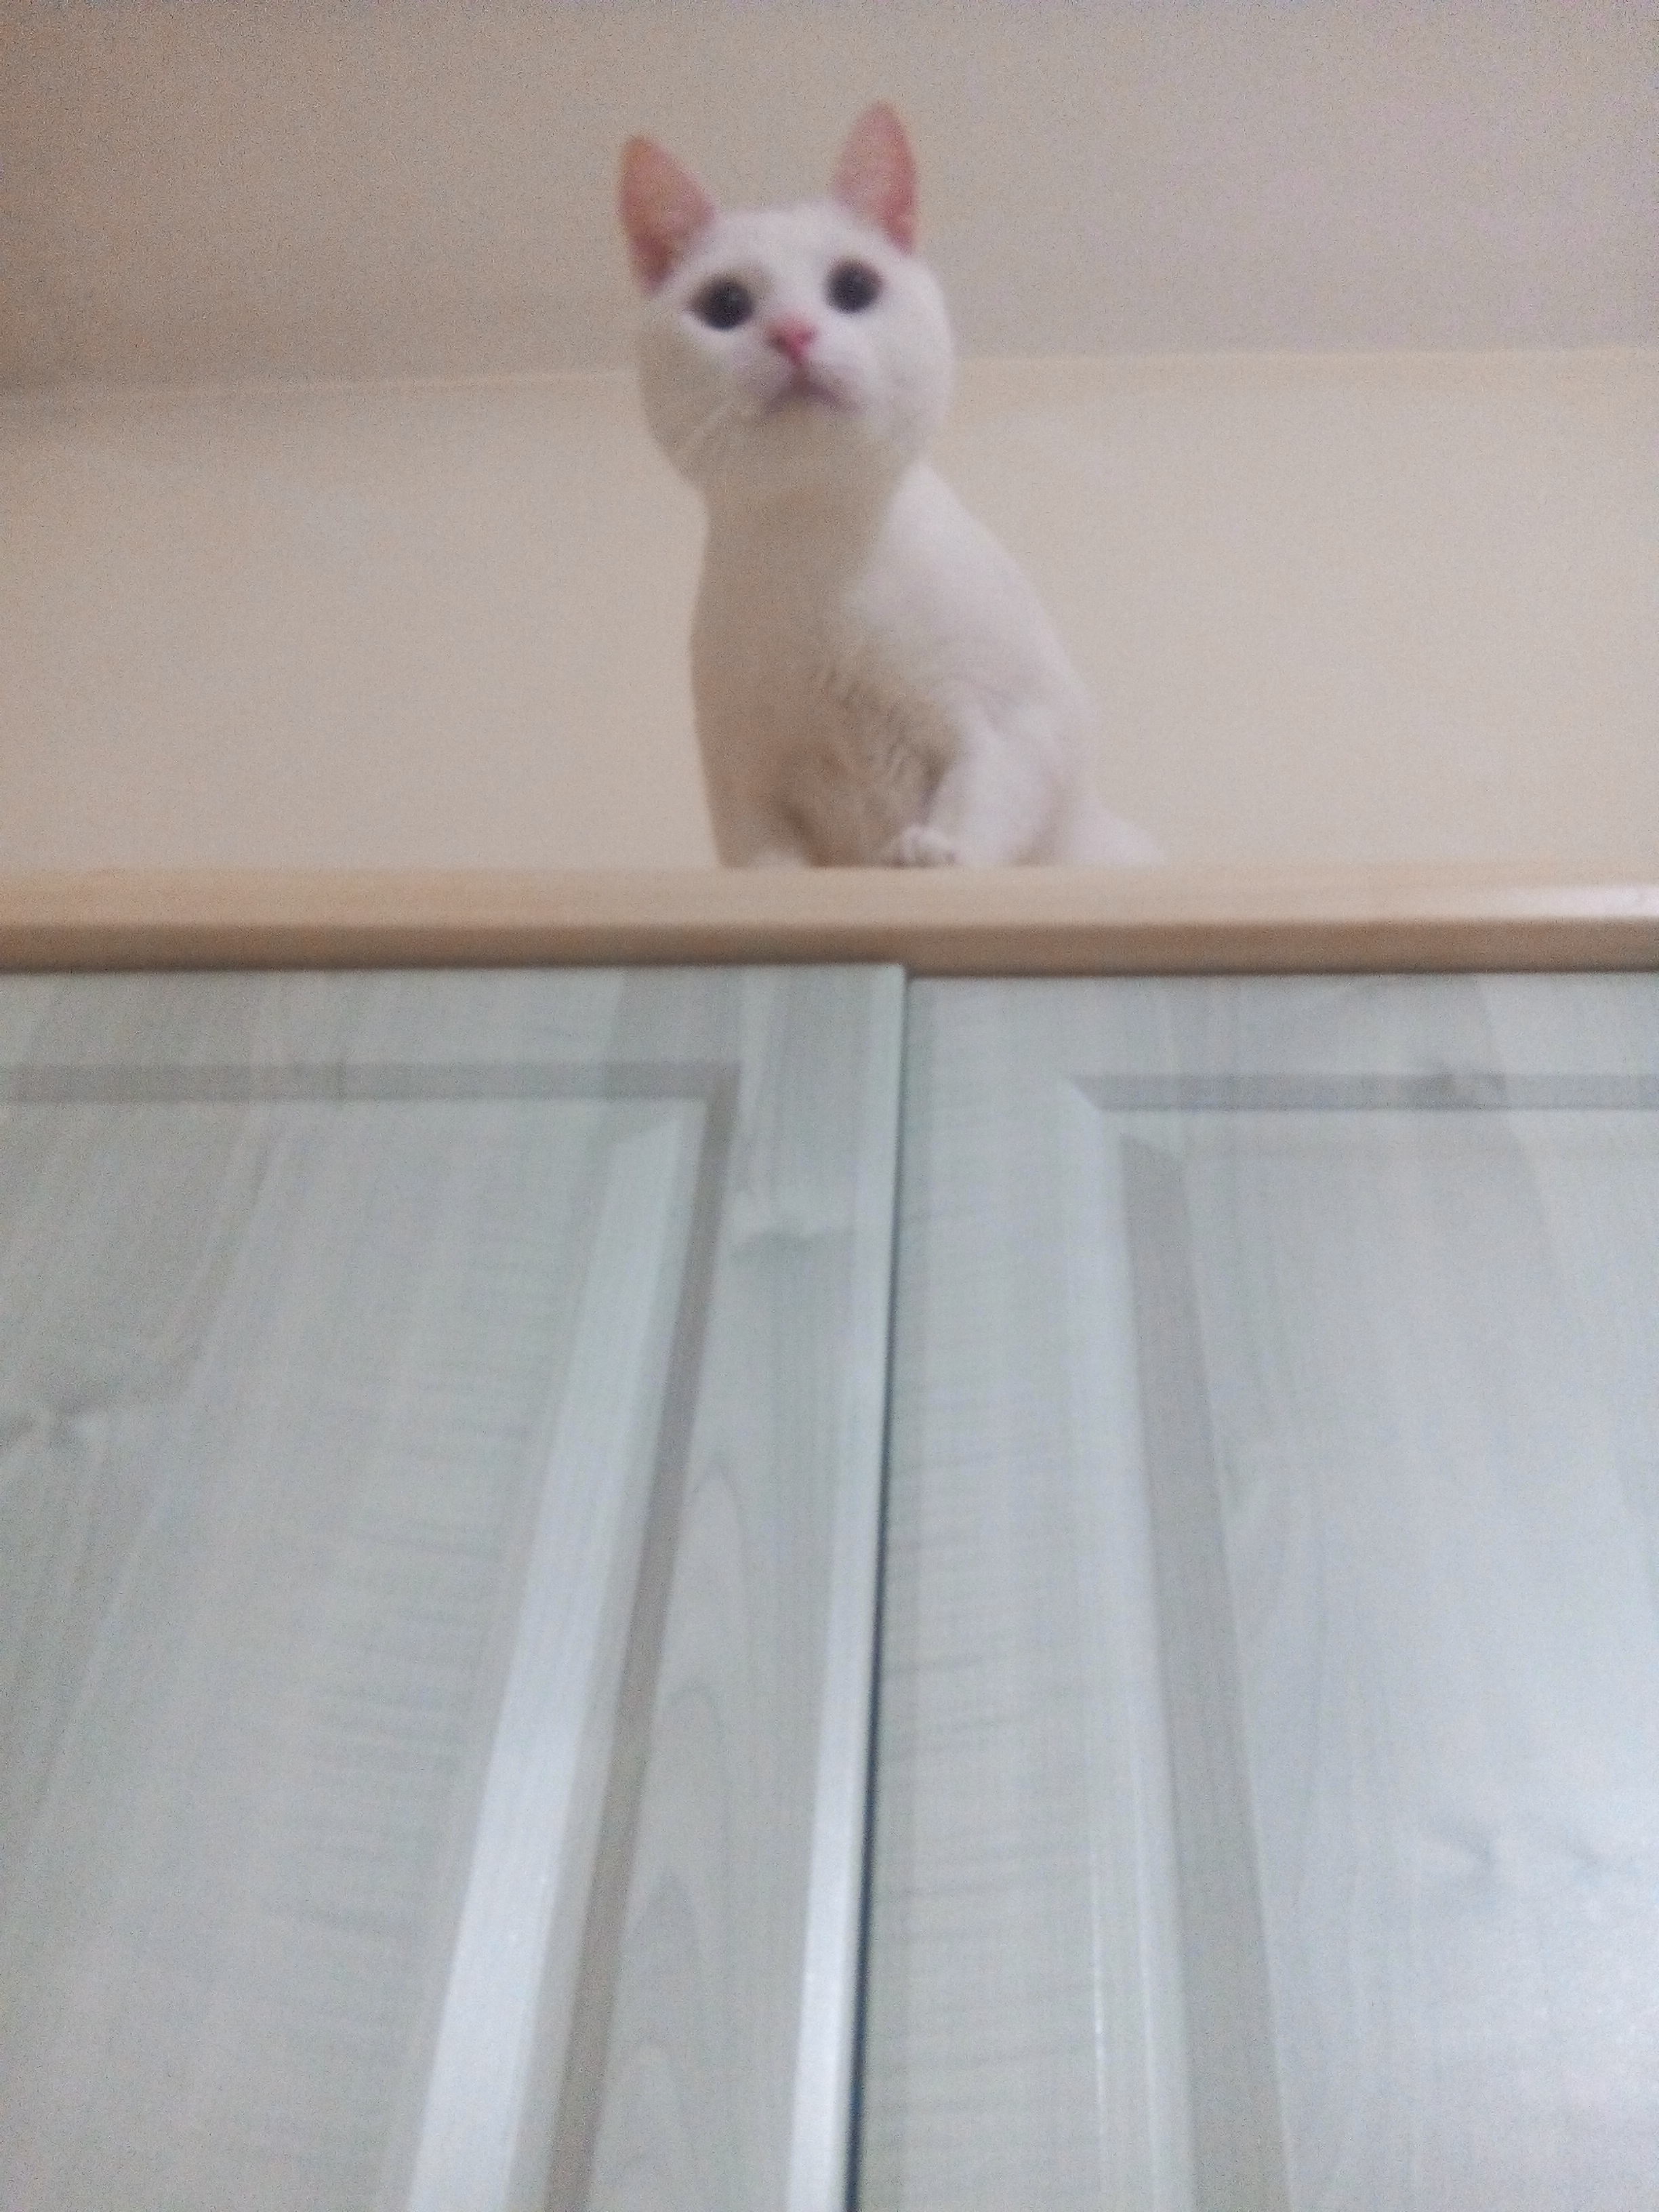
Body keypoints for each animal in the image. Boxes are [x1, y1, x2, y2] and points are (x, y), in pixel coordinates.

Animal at [619, 103, 1162, 868]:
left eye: (853, 287)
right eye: (726, 303)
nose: (793, 332)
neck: (817, 556)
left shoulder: (1014, 725)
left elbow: (979, 803)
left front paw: (931, 851)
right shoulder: (745, 786)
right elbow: (767, 863)